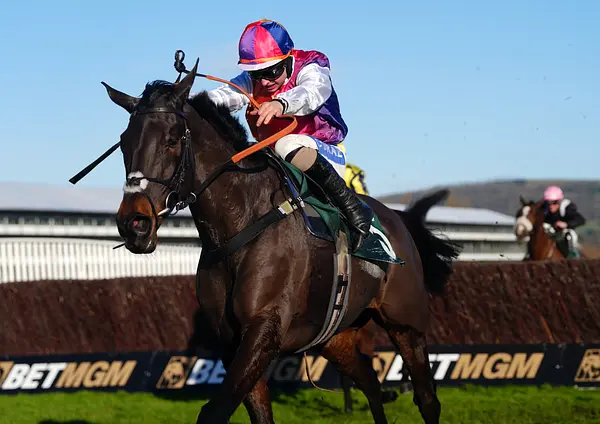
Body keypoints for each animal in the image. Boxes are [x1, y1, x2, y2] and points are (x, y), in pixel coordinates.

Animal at [92, 59, 460, 424]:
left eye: (171, 139)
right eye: (124, 142)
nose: (134, 224)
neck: (239, 225)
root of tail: (398, 219)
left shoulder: (264, 330)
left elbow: (214, 411)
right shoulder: (232, 341)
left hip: (406, 324)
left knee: (427, 398)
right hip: (335, 335)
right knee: (369, 380)